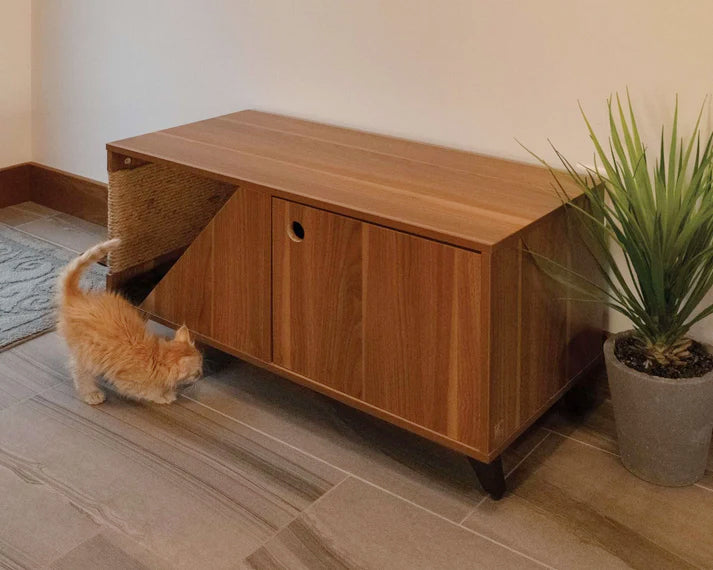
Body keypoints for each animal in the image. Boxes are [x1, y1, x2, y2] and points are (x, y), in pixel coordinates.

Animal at [56, 239, 202, 404]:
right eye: (196, 372)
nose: (201, 373)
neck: (155, 355)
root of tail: (77, 297)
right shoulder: (128, 382)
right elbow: (148, 391)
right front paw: (164, 395)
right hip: (85, 352)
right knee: (79, 371)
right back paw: (91, 393)